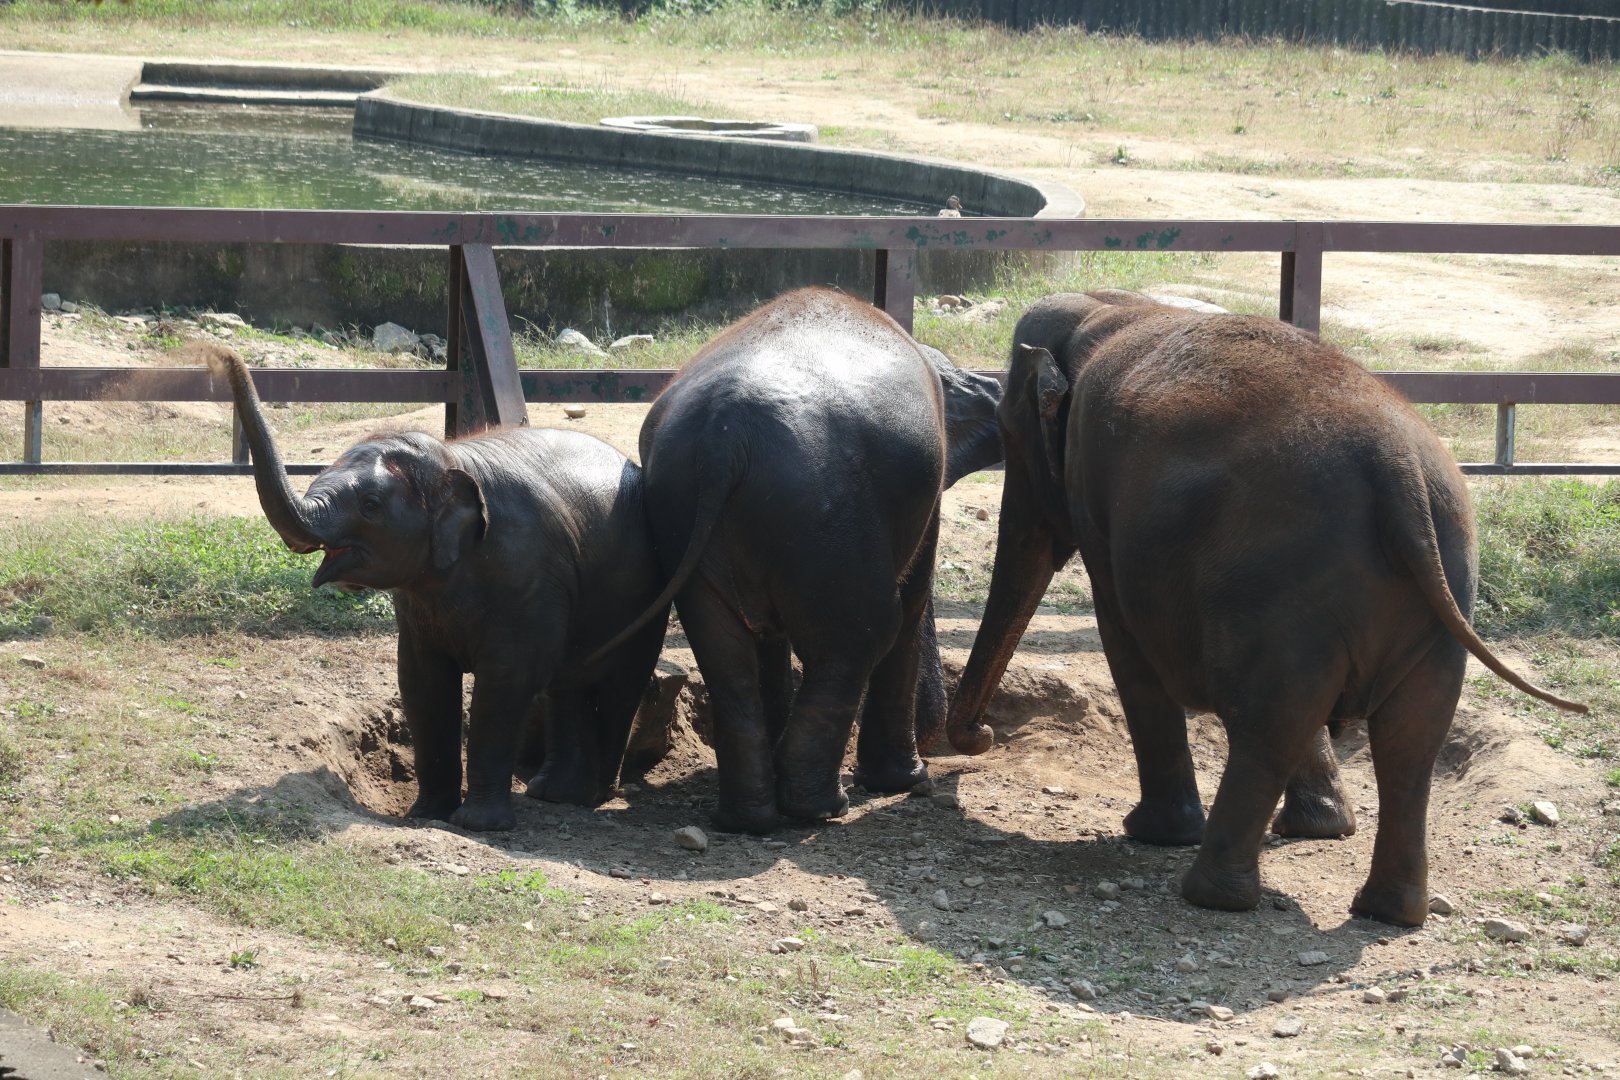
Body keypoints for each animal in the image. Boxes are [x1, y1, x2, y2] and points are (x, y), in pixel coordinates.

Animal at [205, 343, 668, 831]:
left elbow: (506, 680)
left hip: (645, 590)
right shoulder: (418, 602)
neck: (454, 459)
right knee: (571, 686)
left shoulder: (530, 577)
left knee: (621, 681)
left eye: (370, 505)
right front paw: (425, 815)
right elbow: (421, 681)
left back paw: (595, 795)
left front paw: (477, 824)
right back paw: (557, 795)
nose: (219, 354)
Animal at [588, 287, 1002, 834]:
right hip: (822, 507)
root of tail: (725, 435)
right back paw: (820, 808)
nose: (985, 737)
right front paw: (905, 782)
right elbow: (914, 596)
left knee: (726, 655)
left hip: (691, 512)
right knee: (864, 634)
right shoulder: (925, 491)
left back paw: (748, 818)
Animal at [946, 291, 1585, 926]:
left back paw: (1211, 894)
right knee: (1405, 738)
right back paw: (1387, 911)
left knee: (1270, 721)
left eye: (1008, 437)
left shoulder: (1095, 497)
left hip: (1277, 584)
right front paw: (1320, 828)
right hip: (1432, 590)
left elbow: (1125, 640)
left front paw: (1154, 832)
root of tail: (1398, 471)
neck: (1105, 309)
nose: (981, 737)